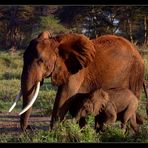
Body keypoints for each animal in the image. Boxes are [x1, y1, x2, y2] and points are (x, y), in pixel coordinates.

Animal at [9, 31, 146, 131]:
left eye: (41, 61)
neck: (57, 43)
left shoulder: (77, 72)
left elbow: (63, 97)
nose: (29, 128)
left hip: (136, 73)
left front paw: (53, 133)